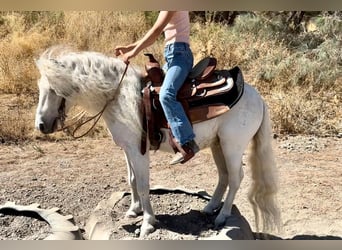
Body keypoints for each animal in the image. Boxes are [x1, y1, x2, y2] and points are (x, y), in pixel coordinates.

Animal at [34, 46, 280, 237]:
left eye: (53, 90)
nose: (41, 126)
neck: (119, 96)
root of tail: (257, 97)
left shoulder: (139, 151)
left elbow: (144, 186)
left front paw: (147, 223)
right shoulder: (127, 149)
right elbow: (132, 179)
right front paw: (133, 210)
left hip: (232, 147)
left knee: (236, 177)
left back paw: (222, 216)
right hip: (217, 145)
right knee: (224, 176)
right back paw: (209, 208)